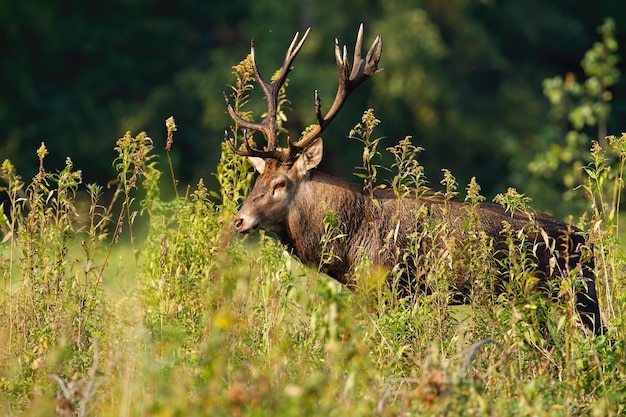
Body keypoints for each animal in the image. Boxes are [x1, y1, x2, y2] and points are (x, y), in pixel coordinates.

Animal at [224, 24, 600, 334]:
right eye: (257, 180)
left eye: (280, 184)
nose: (239, 220)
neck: (348, 246)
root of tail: (586, 239)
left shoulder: (391, 284)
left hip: (573, 293)